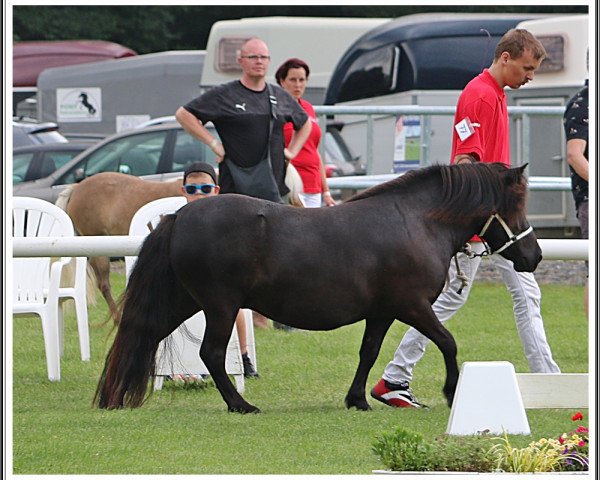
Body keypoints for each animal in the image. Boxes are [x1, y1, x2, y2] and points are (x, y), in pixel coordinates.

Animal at [96, 161, 540, 412]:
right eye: (516, 205)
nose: (533, 257)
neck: (415, 221)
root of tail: (180, 217)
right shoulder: (412, 306)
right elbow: (447, 342)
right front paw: (452, 391)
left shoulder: (382, 312)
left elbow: (368, 352)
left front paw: (357, 400)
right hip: (220, 307)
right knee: (211, 354)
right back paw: (241, 405)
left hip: (185, 302)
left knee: (143, 335)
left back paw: (115, 396)